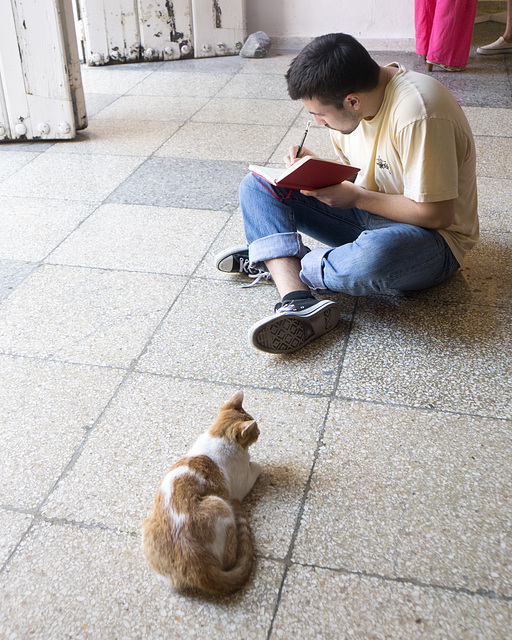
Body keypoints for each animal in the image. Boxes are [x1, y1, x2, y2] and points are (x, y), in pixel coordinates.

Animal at [140, 390, 260, 596]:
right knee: (230, 558)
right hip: (221, 505)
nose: (260, 432)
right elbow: (258, 466)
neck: (219, 436)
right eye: (256, 429)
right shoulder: (241, 486)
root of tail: (195, 563)